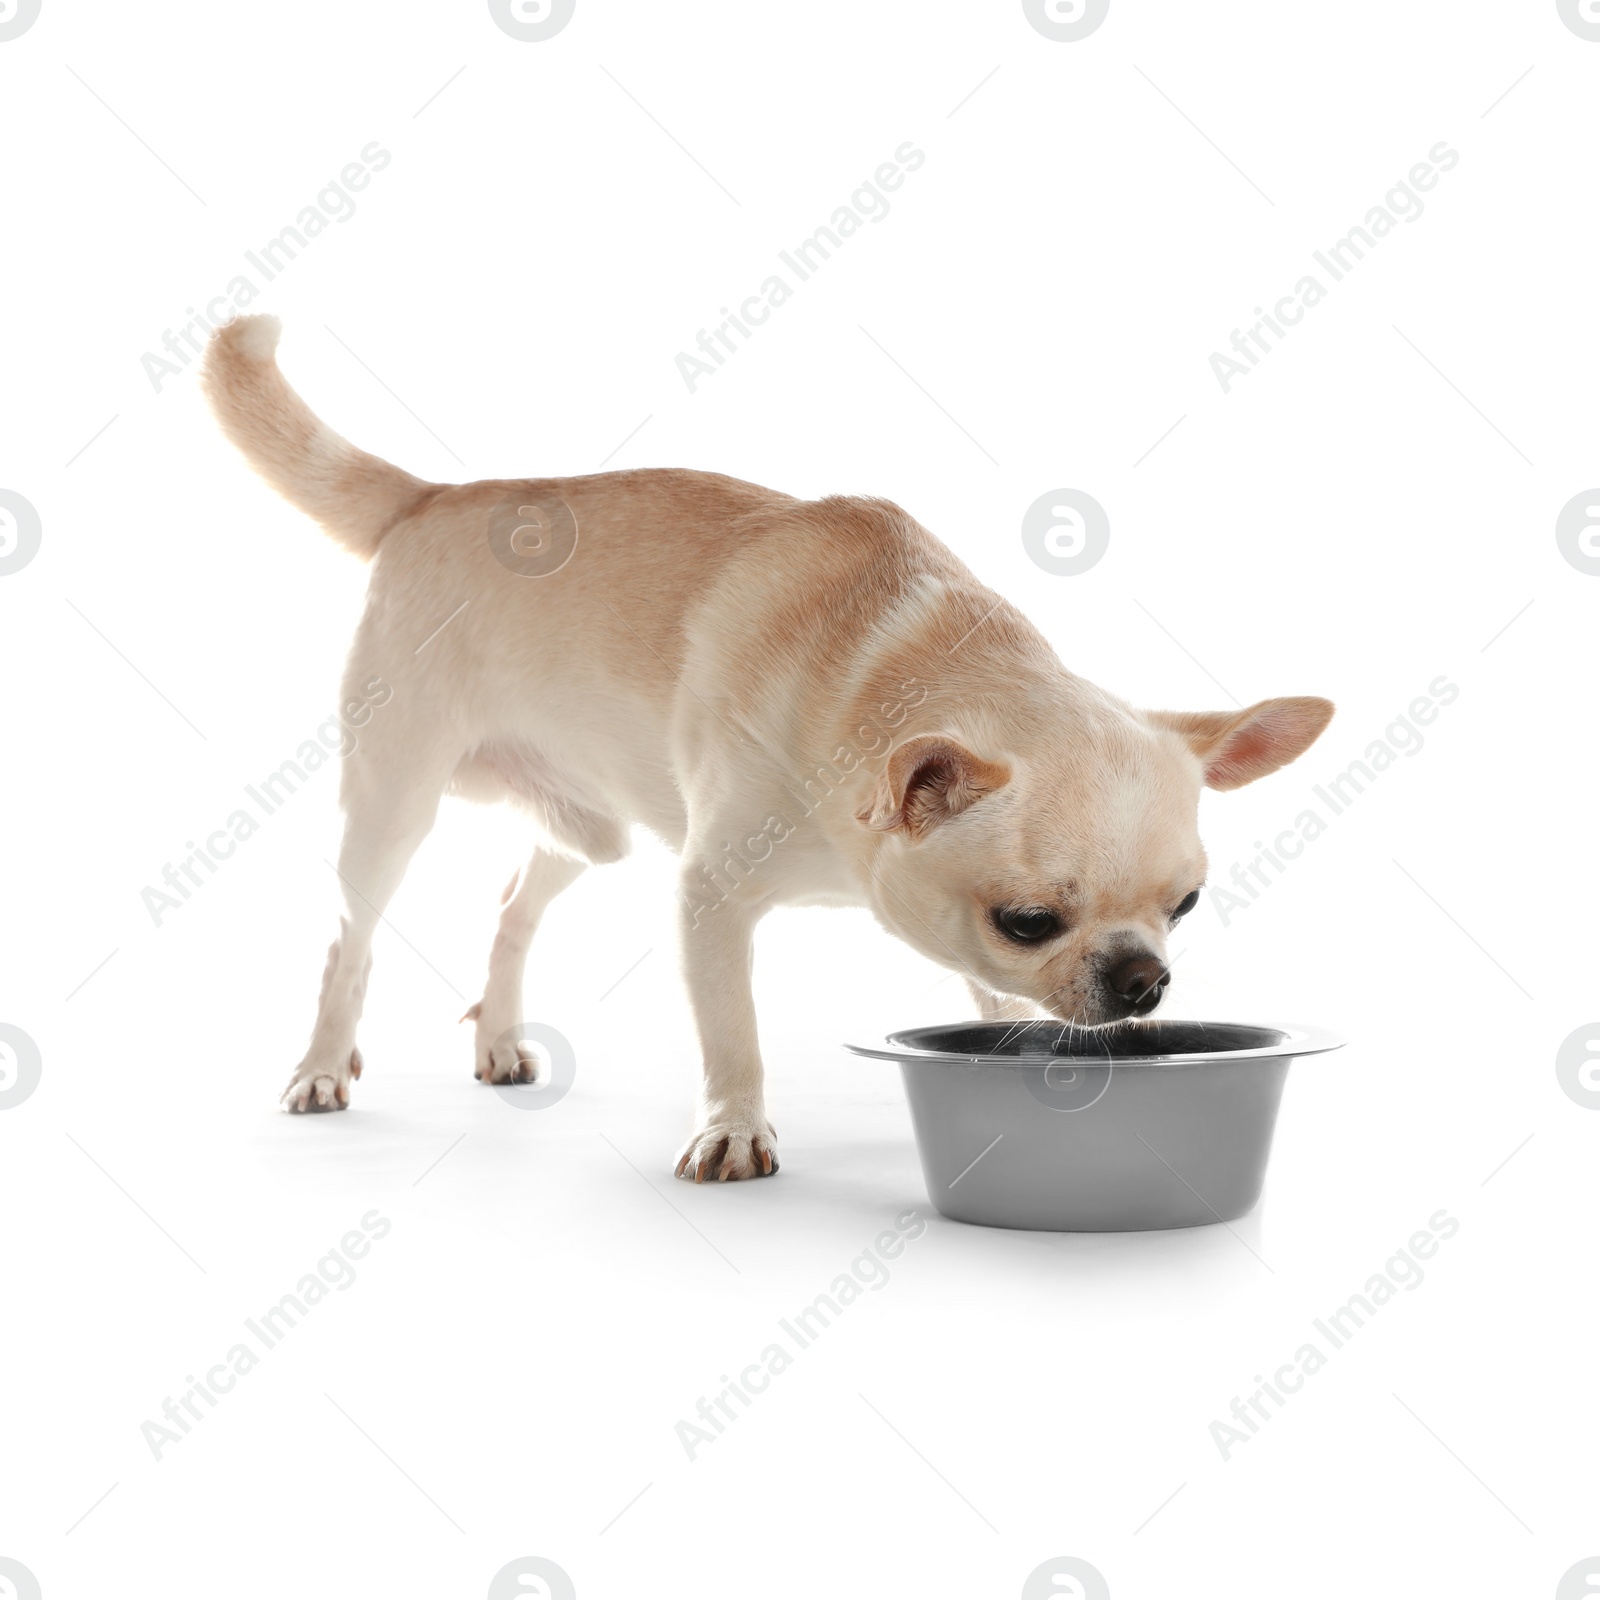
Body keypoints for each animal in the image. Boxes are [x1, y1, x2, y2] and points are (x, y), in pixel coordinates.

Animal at [200, 315, 1331, 1177]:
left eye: (1186, 906)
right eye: (1026, 920)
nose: (1145, 981)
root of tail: (432, 497)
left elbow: (993, 1004)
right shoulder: (712, 899)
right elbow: (731, 1032)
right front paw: (735, 1129)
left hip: (589, 825)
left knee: (514, 904)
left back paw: (499, 1034)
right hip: (395, 802)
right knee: (350, 937)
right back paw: (322, 1064)